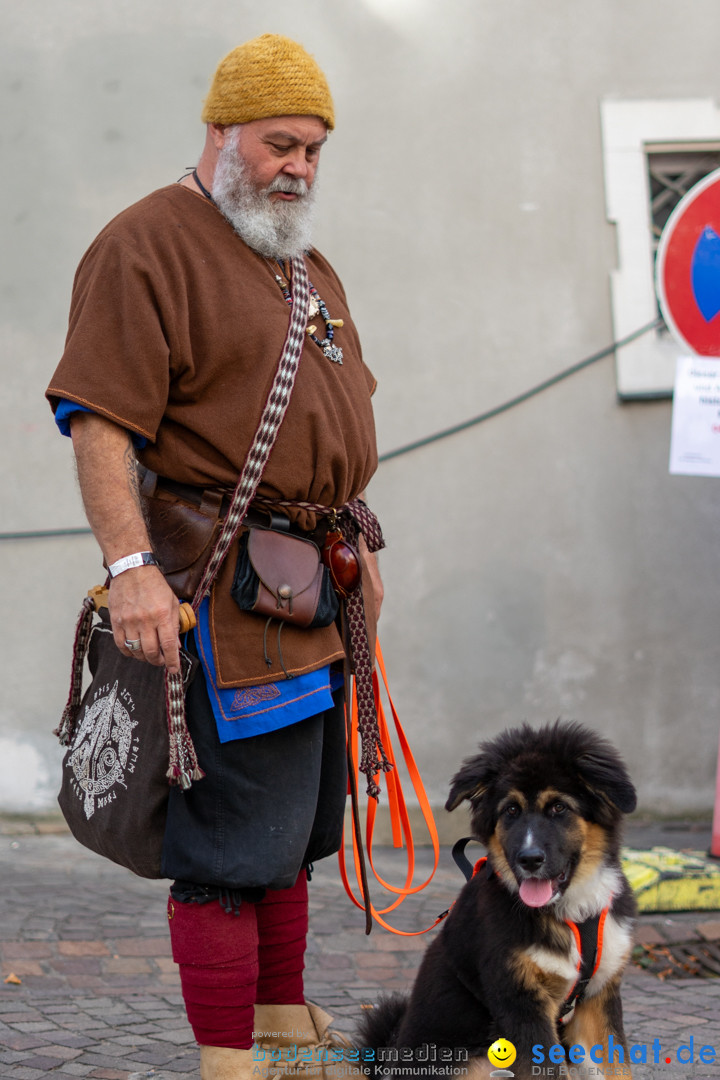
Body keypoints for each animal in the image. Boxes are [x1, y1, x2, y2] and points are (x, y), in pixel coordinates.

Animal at [358, 717, 634, 1080]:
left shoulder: (599, 997)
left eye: (559, 807)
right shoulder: (520, 1002)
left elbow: (618, 1067)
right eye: (511, 810)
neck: (569, 913)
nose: (529, 860)